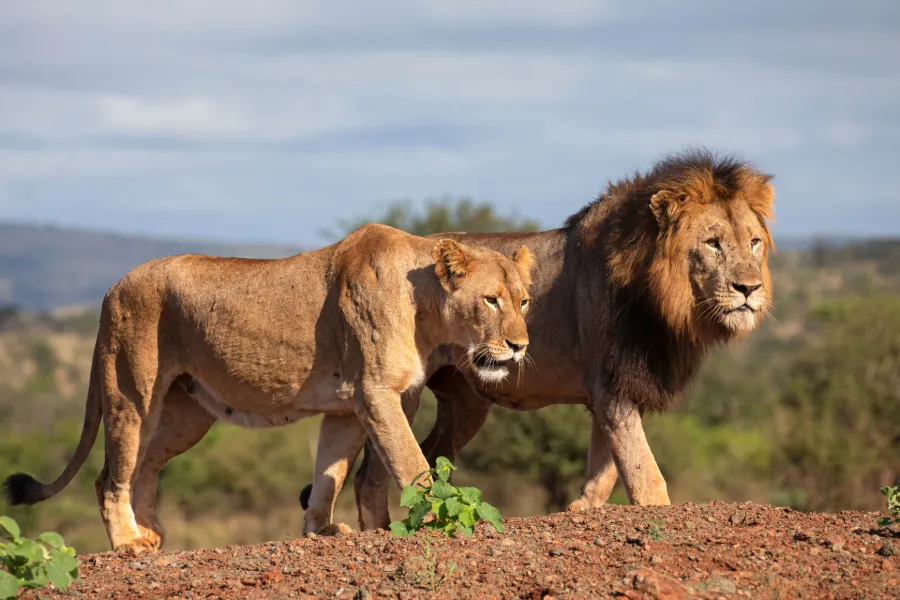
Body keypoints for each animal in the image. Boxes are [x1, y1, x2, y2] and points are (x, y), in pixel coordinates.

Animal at [3, 223, 534, 554]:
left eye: (524, 301)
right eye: (491, 300)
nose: (520, 346)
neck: (424, 306)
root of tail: (112, 289)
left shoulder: (349, 407)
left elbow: (330, 473)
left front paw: (321, 530)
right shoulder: (376, 392)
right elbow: (412, 464)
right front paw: (438, 519)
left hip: (186, 416)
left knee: (142, 468)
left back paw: (151, 536)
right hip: (131, 395)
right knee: (110, 476)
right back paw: (128, 544)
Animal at [343, 148, 776, 530]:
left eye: (754, 242)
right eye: (713, 242)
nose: (749, 288)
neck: (666, 302)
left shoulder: (616, 388)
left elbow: (606, 469)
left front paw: (579, 508)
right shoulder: (610, 385)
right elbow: (645, 475)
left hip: (466, 403)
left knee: (430, 459)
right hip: (406, 390)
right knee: (371, 475)